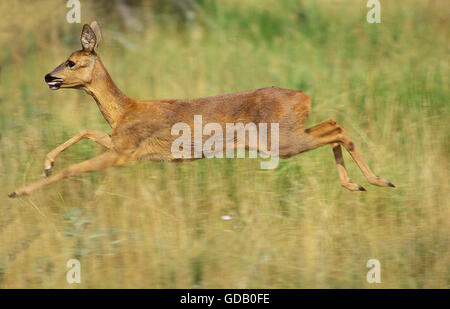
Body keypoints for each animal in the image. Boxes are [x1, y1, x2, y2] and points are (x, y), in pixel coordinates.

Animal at [7, 21, 394, 197]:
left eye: (72, 61)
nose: (48, 76)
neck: (125, 110)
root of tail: (304, 96)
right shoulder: (122, 144)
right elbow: (85, 130)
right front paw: (45, 163)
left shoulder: (124, 153)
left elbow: (73, 169)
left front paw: (19, 190)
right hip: (290, 134)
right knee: (333, 125)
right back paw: (358, 185)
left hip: (281, 140)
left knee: (337, 129)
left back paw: (378, 180)